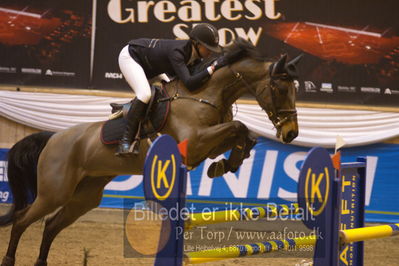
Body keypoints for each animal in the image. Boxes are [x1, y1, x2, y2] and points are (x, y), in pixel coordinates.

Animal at [0, 38, 300, 264]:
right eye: (279, 88)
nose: (291, 133)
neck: (204, 94)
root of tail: (53, 137)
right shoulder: (194, 144)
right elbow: (238, 125)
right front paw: (228, 163)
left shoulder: (209, 144)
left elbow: (244, 132)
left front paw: (228, 164)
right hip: (55, 192)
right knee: (22, 220)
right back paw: (9, 259)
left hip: (85, 196)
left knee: (50, 225)